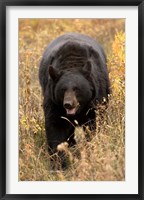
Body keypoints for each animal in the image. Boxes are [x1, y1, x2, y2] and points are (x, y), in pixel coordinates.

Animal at [38, 32, 109, 169]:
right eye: (63, 89)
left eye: (77, 89)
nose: (68, 104)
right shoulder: (54, 102)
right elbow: (56, 127)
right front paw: (59, 164)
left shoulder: (95, 100)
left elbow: (94, 124)